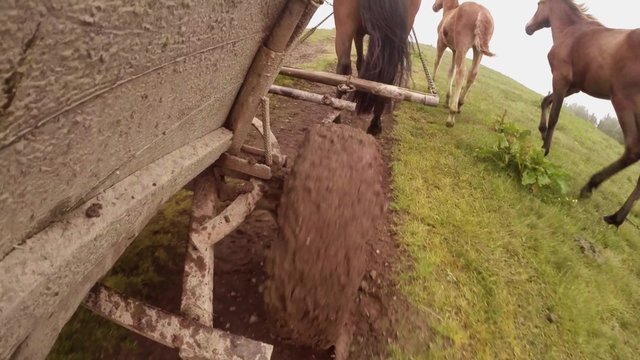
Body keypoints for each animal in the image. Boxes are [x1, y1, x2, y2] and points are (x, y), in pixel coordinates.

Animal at [332, 0, 422, 135]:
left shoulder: (358, 32)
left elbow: (360, 62)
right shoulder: (359, 33)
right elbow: (360, 62)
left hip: (344, 22)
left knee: (344, 65)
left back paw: (336, 115)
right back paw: (374, 125)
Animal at [432, 0, 498, 128]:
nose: (434, 7)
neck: (449, 12)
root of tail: (481, 12)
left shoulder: (441, 43)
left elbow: (437, 62)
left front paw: (431, 85)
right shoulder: (454, 50)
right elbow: (451, 71)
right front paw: (447, 100)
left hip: (463, 48)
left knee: (462, 71)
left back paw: (451, 114)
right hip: (477, 50)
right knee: (473, 73)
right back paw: (459, 104)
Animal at [528, 0, 640, 225]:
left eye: (538, 4)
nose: (528, 28)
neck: (571, 31)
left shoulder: (561, 78)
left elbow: (555, 116)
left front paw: (544, 150)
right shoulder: (574, 86)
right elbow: (545, 101)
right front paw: (542, 132)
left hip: (623, 101)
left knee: (634, 149)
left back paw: (591, 188)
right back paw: (616, 216)